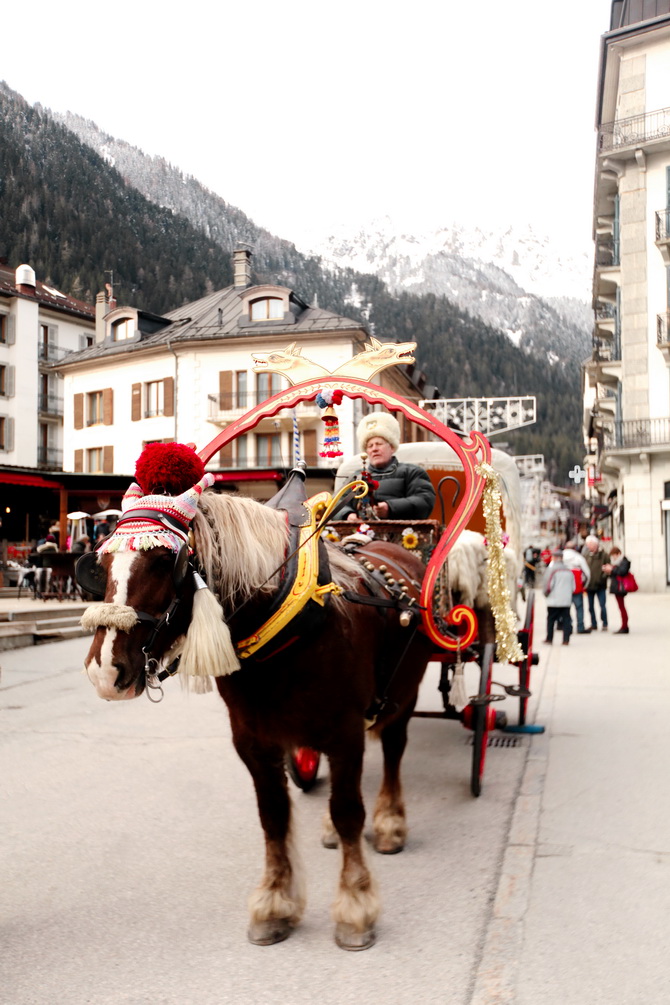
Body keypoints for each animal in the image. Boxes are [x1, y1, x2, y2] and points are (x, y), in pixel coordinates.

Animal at [78, 462, 435, 948]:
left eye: (165, 561)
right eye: (100, 564)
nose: (104, 670)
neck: (288, 621)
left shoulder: (343, 731)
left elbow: (347, 811)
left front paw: (356, 907)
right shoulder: (252, 739)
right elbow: (274, 816)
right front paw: (275, 903)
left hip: (404, 693)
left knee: (394, 750)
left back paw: (389, 824)